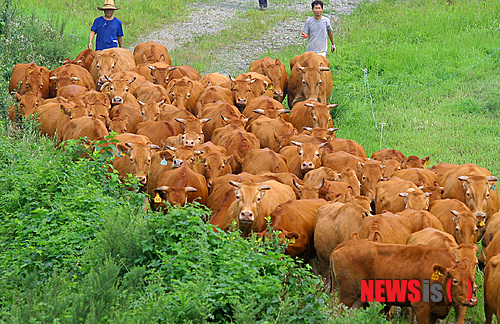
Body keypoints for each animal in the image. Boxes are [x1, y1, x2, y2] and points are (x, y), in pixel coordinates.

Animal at [332, 239, 476, 320]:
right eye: (455, 280)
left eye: (471, 279)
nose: (472, 299)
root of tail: (343, 245)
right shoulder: (421, 307)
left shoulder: (435, 312)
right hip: (347, 297)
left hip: (357, 299)